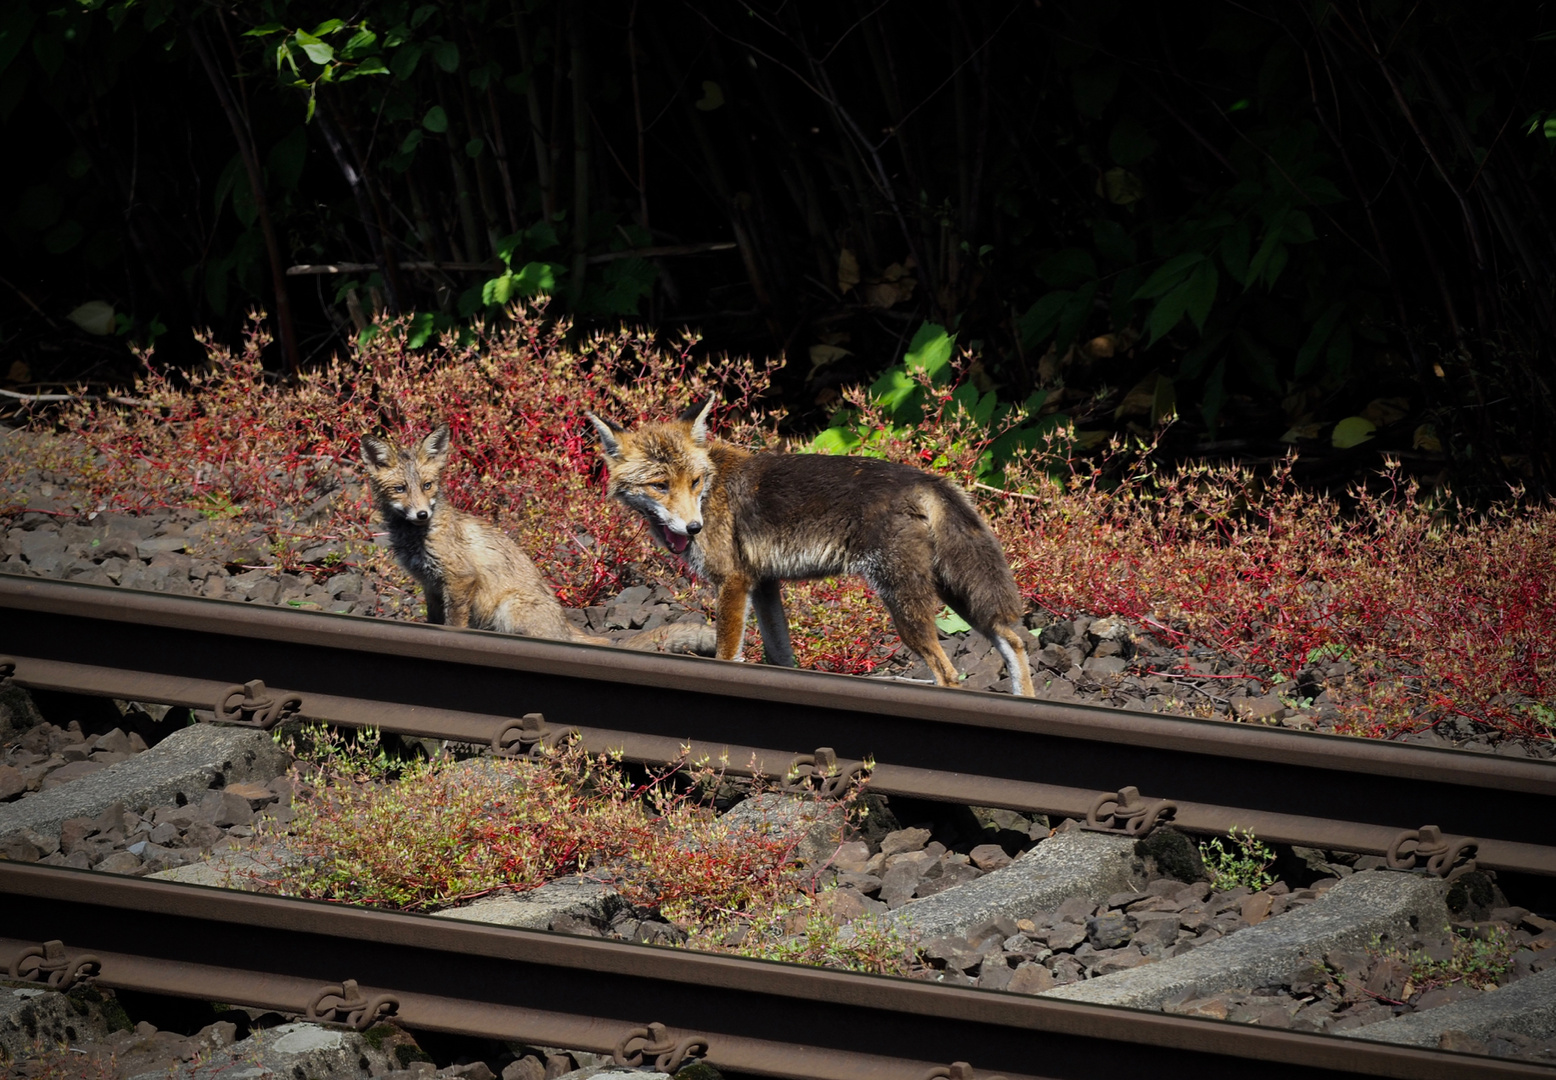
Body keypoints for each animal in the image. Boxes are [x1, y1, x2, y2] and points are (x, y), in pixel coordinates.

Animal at [357, 426, 712, 656]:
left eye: (428, 485)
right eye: (400, 489)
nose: (421, 514)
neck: (418, 538)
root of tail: (564, 625)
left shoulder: (460, 579)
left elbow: (454, 625)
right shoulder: (431, 585)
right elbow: (433, 620)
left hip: (509, 608)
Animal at [585, 401, 1033, 697]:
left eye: (694, 482)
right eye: (660, 485)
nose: (694, 528)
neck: (712, 489)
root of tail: (925, 478)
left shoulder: (733, 582)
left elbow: (727, 656)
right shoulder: (764, 584)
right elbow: (782, 658)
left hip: (903, 601)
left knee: (949, 673)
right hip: (953, 592)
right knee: (1014, 640)